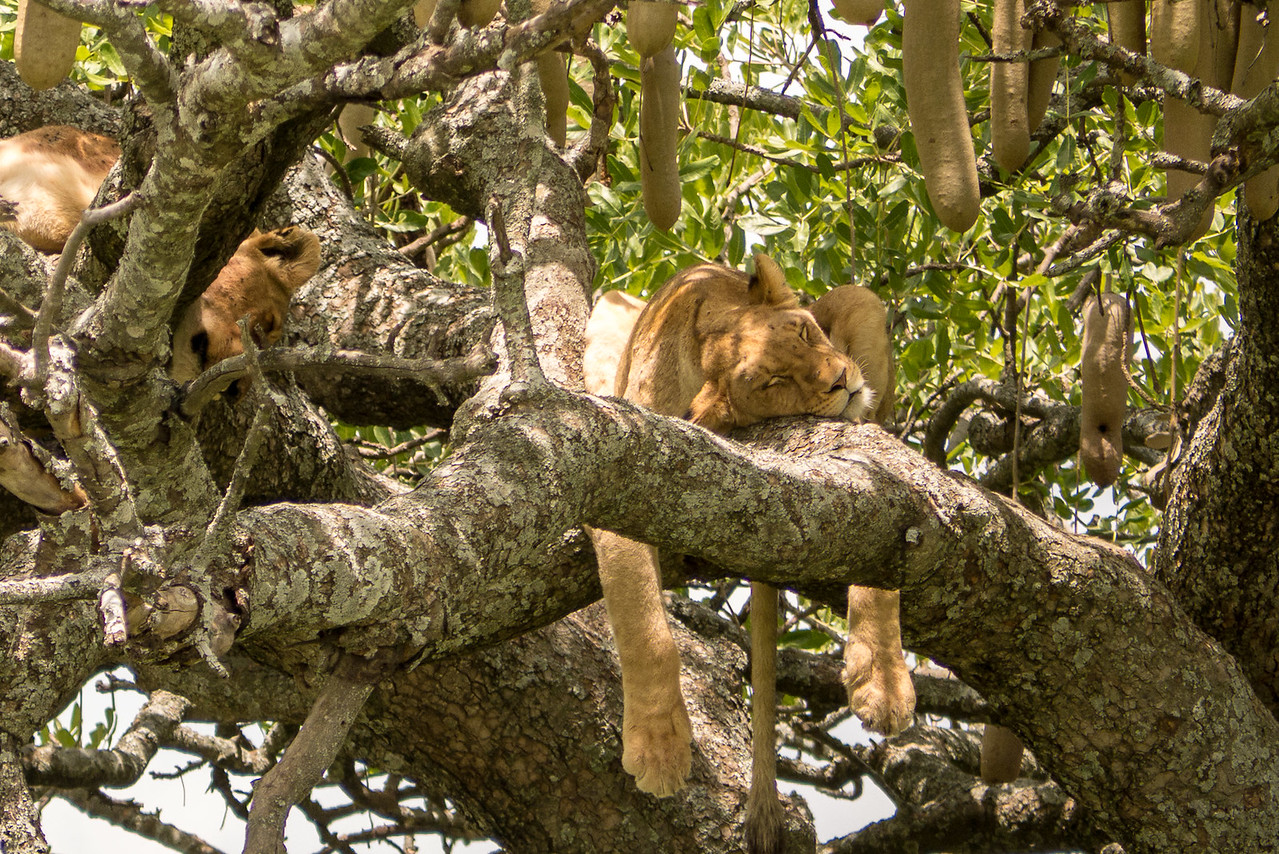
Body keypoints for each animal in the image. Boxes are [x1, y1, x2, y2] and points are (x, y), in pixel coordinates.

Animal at [584, 255, 914, 854]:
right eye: (774, 382)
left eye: (805, 333)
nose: (841, 382)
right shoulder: (618, 470)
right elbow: (646, 629)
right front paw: (659, 746)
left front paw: (882, 681)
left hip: (861, 302)